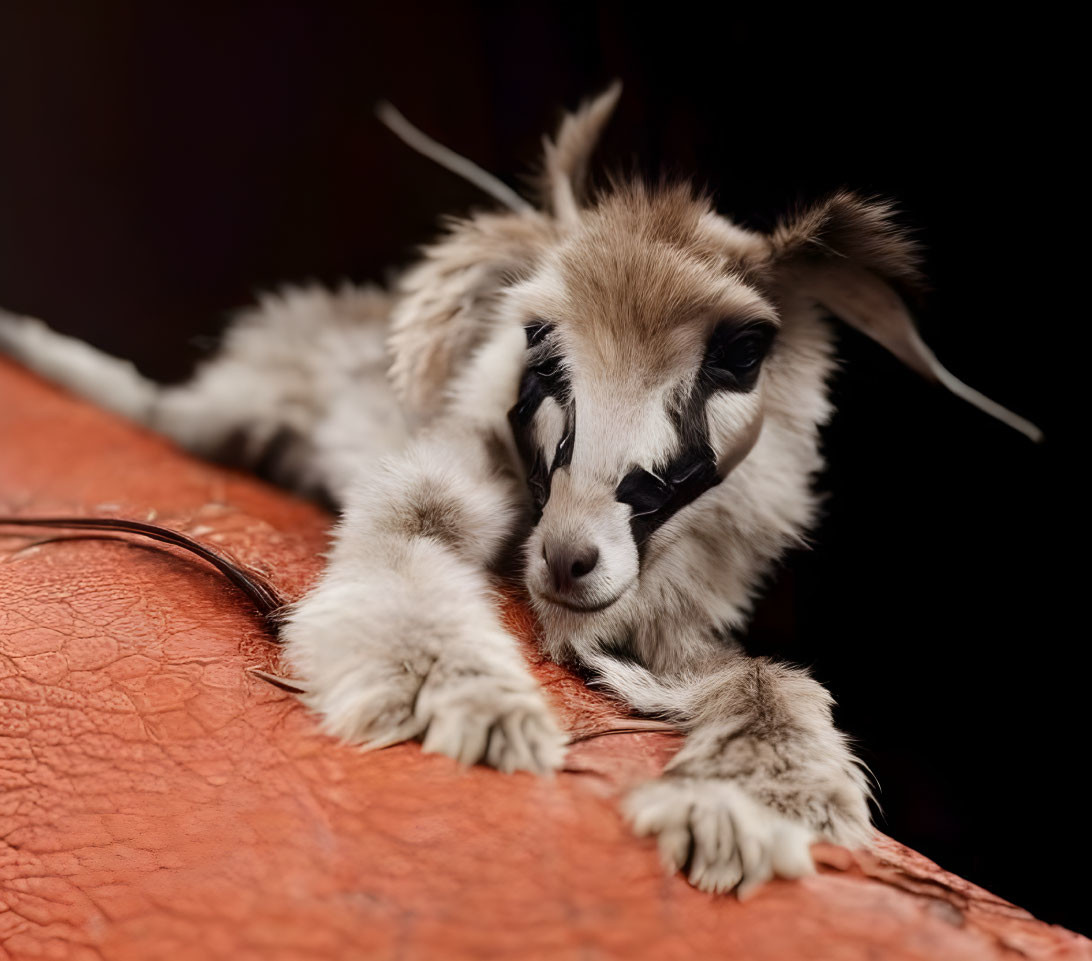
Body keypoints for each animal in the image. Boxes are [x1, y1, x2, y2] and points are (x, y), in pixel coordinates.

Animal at [0, 84, 1039, 899]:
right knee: (155, 404)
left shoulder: (673, 627)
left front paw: (741, 806)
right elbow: (406, 543)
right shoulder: (443, 485)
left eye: (742, 354)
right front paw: (461, 701)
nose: (571, 557)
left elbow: (769, 676)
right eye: (541, 339)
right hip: (226, 410)